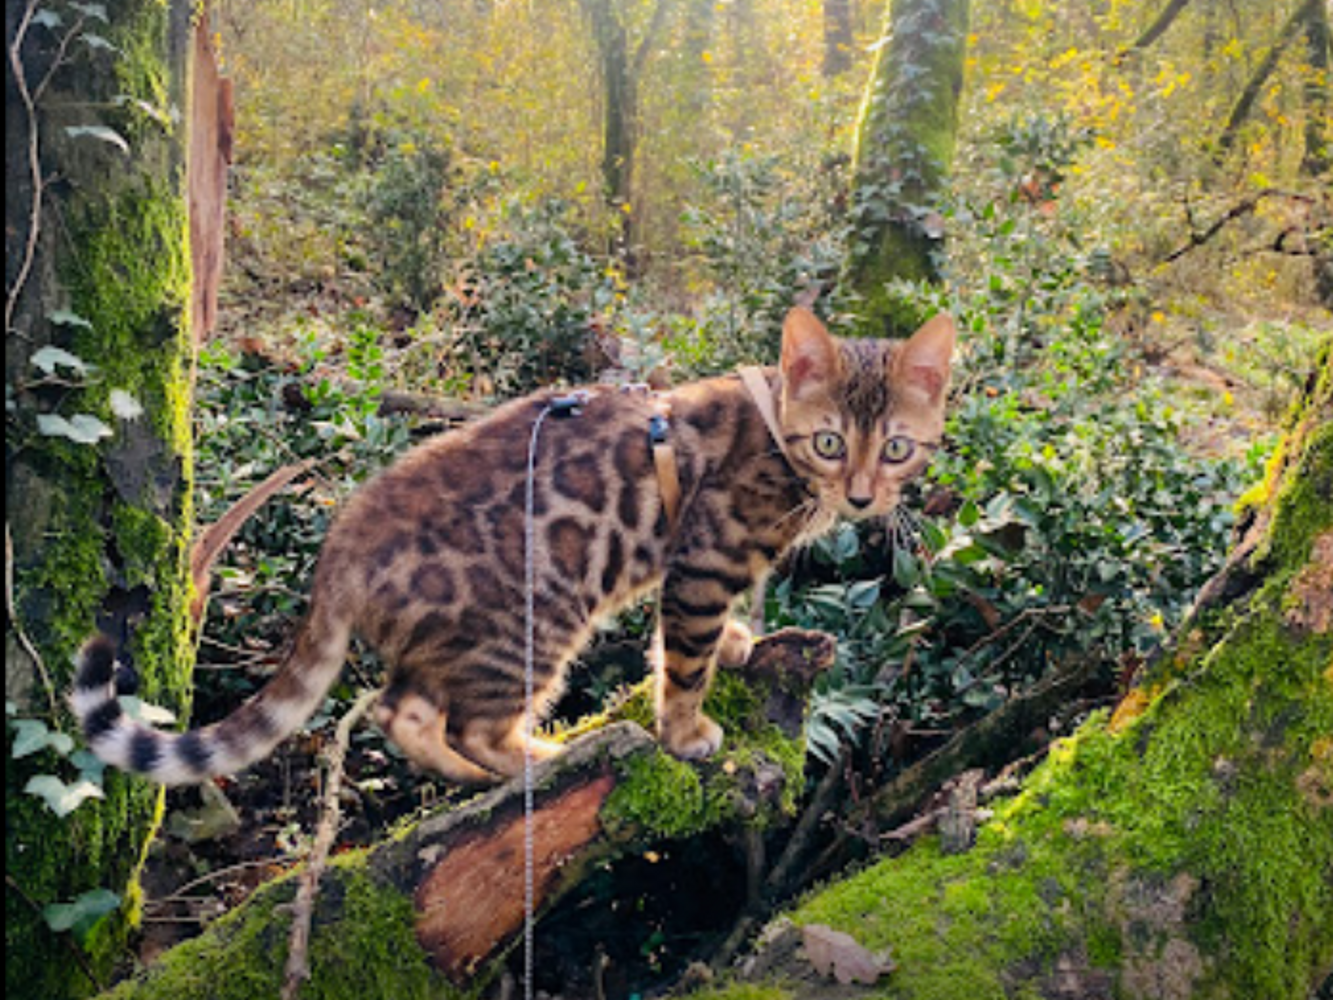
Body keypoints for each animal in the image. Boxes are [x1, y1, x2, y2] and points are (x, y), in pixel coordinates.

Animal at [72, 305, 954, 784]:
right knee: (461, 721)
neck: (775, 433)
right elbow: (683, 661)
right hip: (535, 624)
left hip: (453, 643)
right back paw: (545, 757)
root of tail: (339, 549)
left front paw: (740, 640)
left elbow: (697, 638)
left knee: (402, 712)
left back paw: (474, 772)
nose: (863, 496)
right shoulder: (702, 561)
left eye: (896, 448)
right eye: (831, 443)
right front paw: (684, 731)